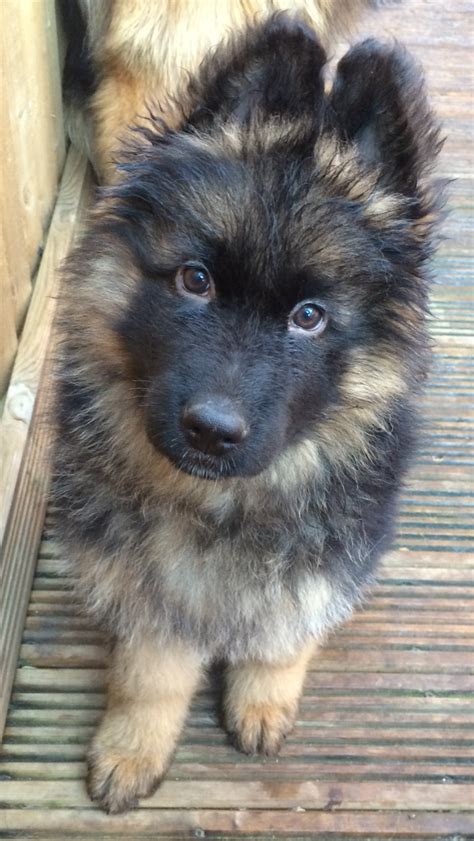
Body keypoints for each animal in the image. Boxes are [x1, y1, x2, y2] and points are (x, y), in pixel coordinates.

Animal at [54, 0, 440, 812]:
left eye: (309, 317)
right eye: (195, 280)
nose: (212, 430)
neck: (226, 505)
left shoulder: (325, 559)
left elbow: (283, 634)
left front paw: (262, 702)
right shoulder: (150, 583)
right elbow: (151, 671)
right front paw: (133, 747)